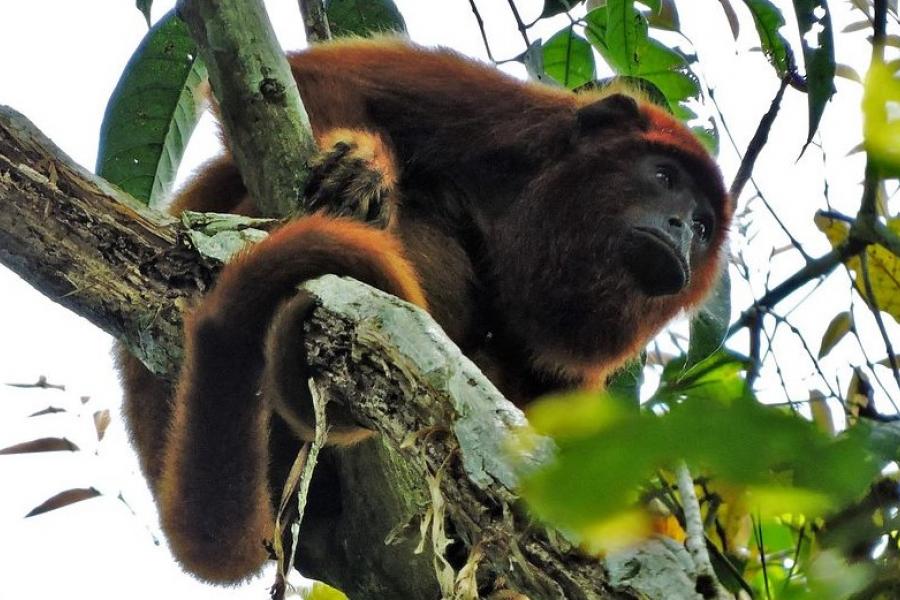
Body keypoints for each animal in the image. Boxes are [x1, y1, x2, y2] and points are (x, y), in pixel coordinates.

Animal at [116, 38, 732, 584]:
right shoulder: (513, 115)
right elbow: (303, 81)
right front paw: (363, 164)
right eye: (663, 177)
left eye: (704, 227)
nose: (681, 228)